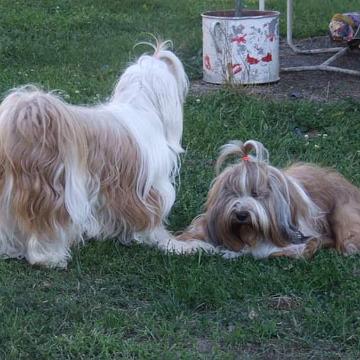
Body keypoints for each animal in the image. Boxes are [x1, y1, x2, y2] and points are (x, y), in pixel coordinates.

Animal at [0, 40, 210, 268]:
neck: (141, 105)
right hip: (54, 191)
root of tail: (29, 117)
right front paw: (168, 242)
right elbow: (152, 218)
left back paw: (10, 250)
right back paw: (49, 258)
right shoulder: (150, 185)